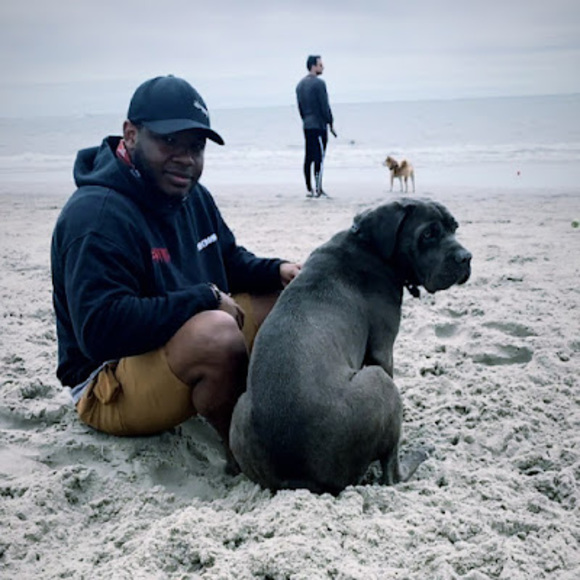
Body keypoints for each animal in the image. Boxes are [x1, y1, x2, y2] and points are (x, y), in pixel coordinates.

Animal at [229, 198, 471, 494]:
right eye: (428, 234)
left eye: (454, 227)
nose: (466, 257)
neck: (370, 245)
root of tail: (297, 475)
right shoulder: (383, 350)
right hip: (379, 383)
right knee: (391, 473)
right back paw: (418, 454)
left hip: (240, 411)